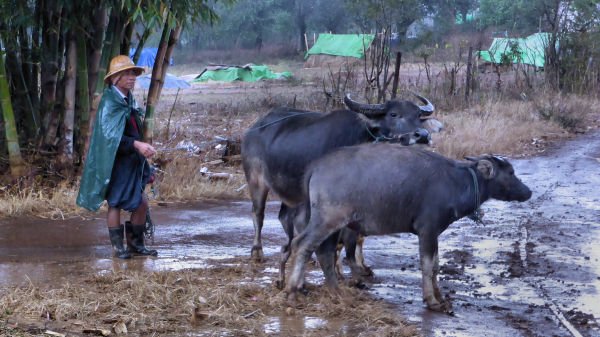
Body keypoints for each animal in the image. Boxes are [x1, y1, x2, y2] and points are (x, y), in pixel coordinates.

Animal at [240, 93, 440, 282]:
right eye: (394, 114)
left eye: (418, 115)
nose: (422, 135)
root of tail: (253, 130)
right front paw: (338, 269)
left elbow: (359, 235)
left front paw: (362, 266)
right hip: (256, 179)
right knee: (258, 213)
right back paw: (257, 252)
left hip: (291, 192)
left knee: (284, 217)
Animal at [288, 143, 536, 312]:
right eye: (511, 173)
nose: (528, 192)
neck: (457, 183)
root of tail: (316, 167)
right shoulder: (427, 231)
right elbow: (427, 265)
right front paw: (432, 301)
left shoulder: (434, 233)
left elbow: (436, 265)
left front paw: (440, 296)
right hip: (328, 220)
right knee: (302, 244)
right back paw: (293, 290)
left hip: (333, 225)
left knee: (324, 252)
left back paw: (333, 291)